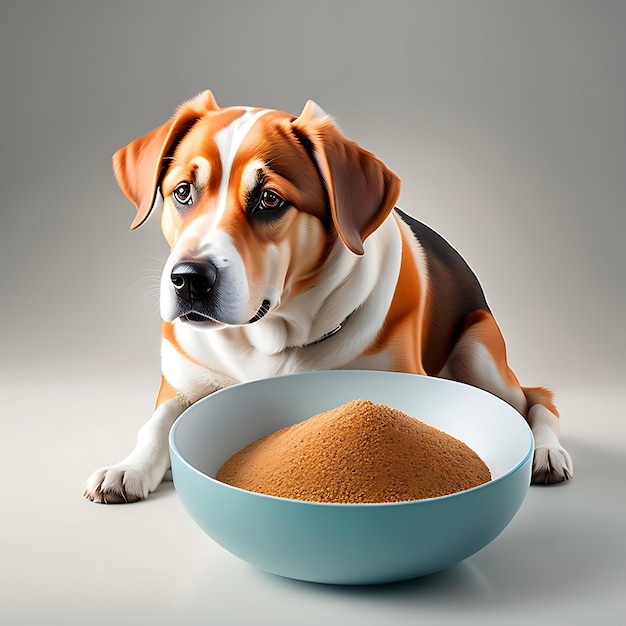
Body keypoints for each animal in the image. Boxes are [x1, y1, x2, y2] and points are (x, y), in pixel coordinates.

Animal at [83, 90, 572, 502]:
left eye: (269, 199)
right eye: (183, 191)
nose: (188, 279)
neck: (267, 342)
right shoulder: (182, 378)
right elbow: (157, 423)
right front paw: (130, 468)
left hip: (480, 350)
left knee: (536, 399)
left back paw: (546, 453)